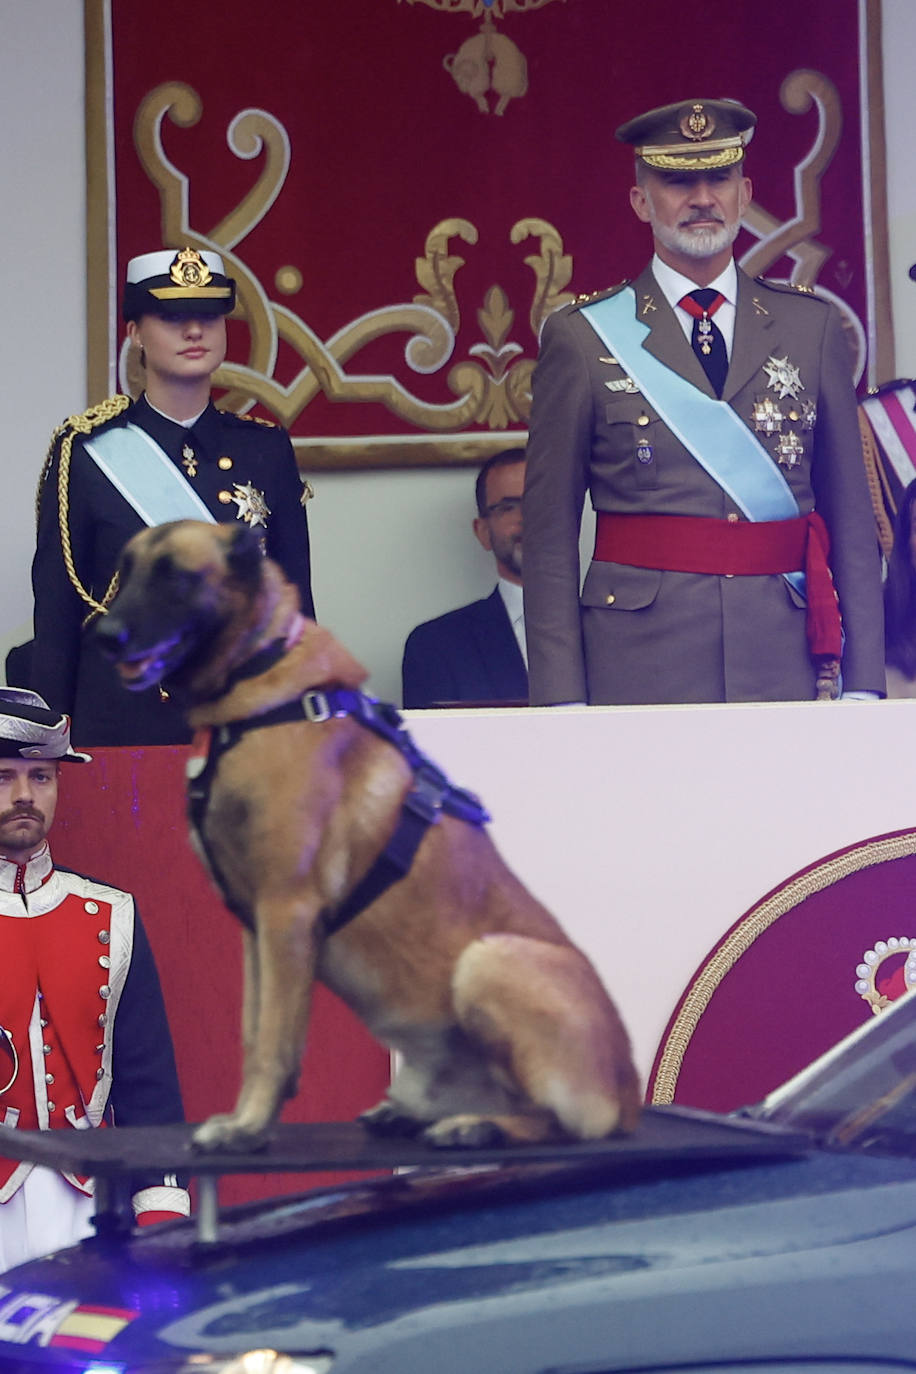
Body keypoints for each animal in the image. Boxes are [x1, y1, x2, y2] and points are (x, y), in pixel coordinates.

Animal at [96, 519, 642, 1154]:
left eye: (177, 578)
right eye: (125, 569)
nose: (104, 636)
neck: (260, 671)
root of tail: (629, 1095)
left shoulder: (286, 912)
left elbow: (274, 1043)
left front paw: (249, 1126)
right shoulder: (256, 928)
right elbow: (255, 1034)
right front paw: (245, 1119)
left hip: (488, 959)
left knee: (554, 1124)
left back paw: (476, 1126)